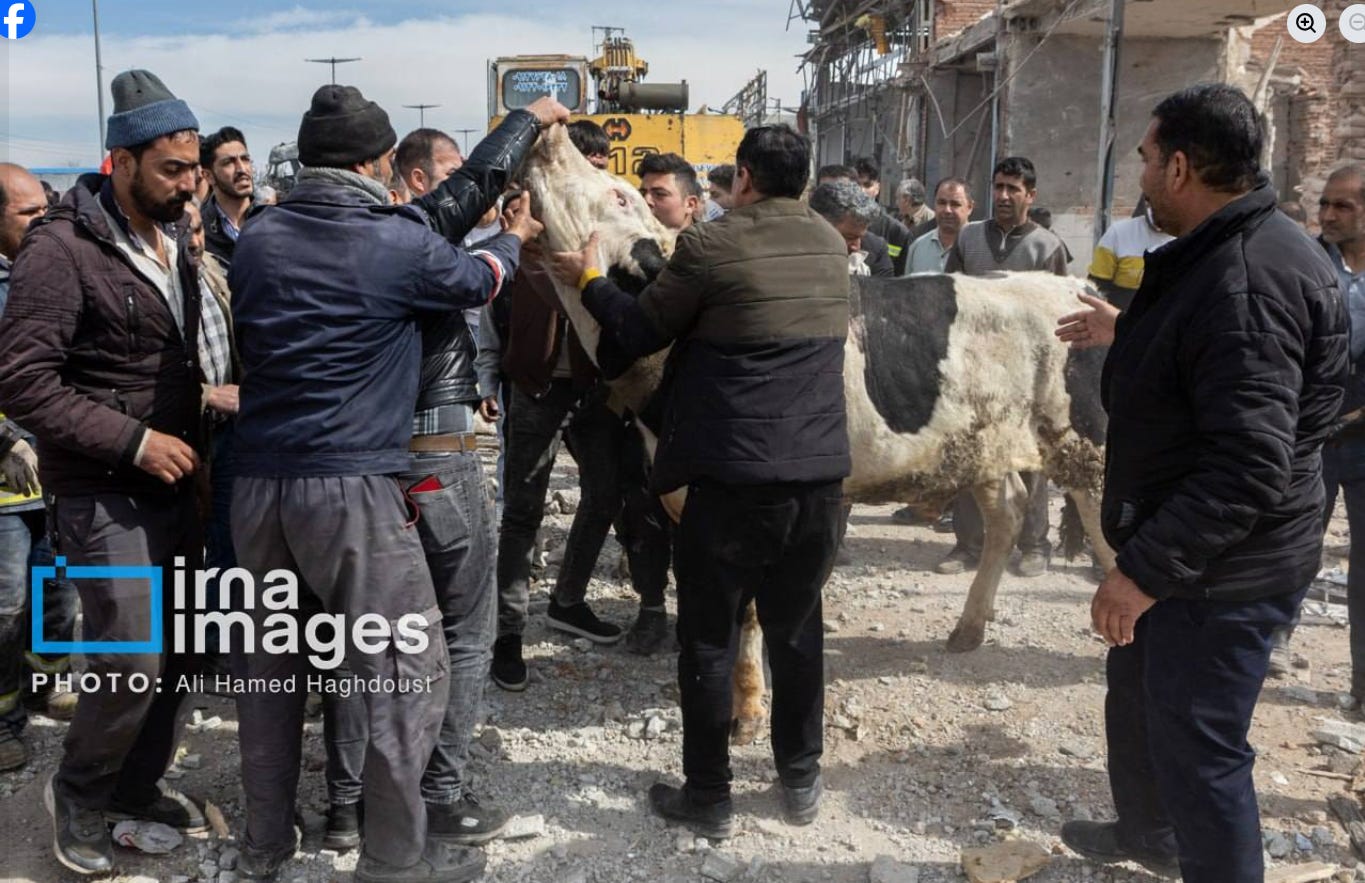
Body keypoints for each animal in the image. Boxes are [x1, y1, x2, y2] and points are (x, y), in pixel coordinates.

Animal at [522, 123, 1113, 744]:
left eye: (620, 196)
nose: (551, 130)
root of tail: (1082, 289)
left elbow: (751, 608)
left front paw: (747, 717)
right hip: (982, 445)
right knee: (1010, 509)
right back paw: (966, 633)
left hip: (1091, 442)